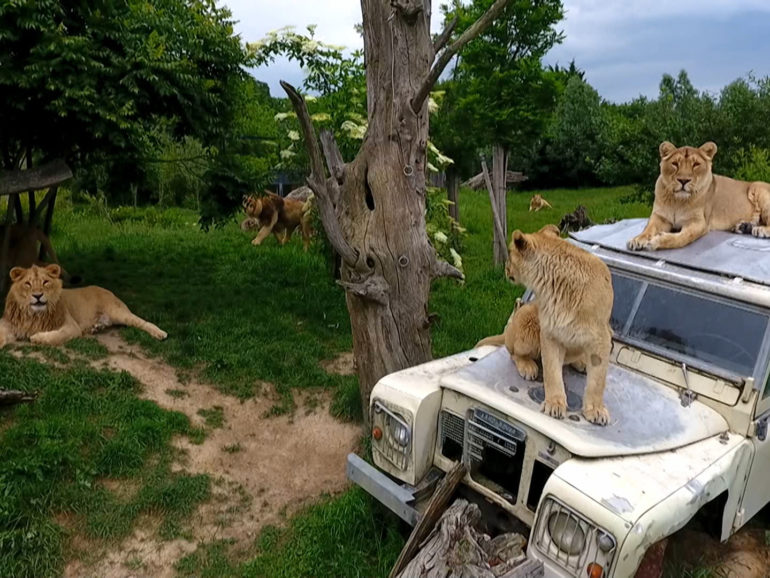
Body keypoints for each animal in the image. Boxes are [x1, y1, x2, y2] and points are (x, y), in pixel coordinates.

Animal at [0, 262, 167, 346]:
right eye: (28, 284)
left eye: (45, 282)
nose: (37, 295)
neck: (34, 314)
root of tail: (106, 289)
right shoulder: (9, 323)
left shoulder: (71, 326)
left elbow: (57, 336)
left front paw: (37, 338)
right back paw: (96, 328)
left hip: (118, 312)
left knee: (142, 322)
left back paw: (160, 333)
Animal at [504, 224, 612, 424]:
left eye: (509, 253)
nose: (505, 268)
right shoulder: (550, 333)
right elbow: (552, 372)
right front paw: (554, 404)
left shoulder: (602, 338)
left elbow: (598, 380)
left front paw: (596, 410)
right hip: (527, 316)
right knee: (513, 353)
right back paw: (528, 367)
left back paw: (581, 363)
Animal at [628, 140, 768, 250]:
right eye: (675, 164)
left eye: (696, 164)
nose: (683, 180)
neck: (678, 201)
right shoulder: (660, 216)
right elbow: (648, 228)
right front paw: (637, 240)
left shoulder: (699, 222)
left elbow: (683, 238)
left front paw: (658, 241)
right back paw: (744, 226)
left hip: (758, 189)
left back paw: (761, 230)